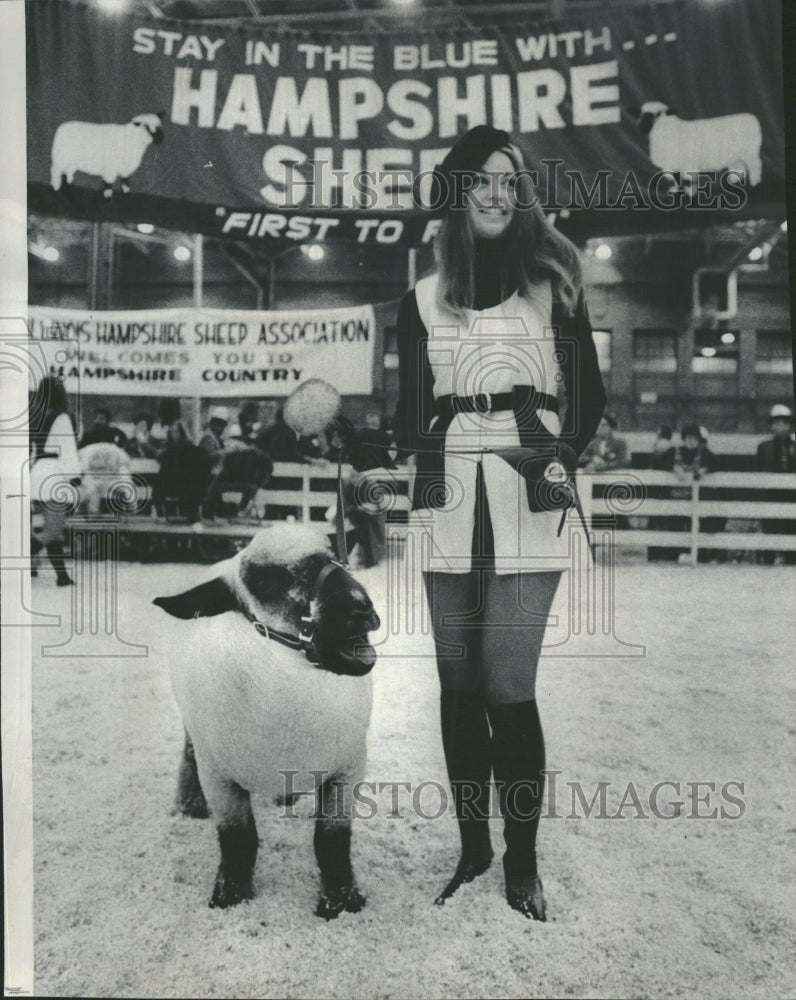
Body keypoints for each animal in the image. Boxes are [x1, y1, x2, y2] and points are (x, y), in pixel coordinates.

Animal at [155, 524, 382, 920]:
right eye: (264, 582)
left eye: (336, 556)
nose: (360, 607)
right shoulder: (220, 779)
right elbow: (238, 838)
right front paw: (231, 895)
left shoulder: (347, 769)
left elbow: (332, 840)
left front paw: (340, 901)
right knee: (187, 753)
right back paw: (188, 806)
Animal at [632, 103, 760, 191]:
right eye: (641, 115)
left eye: (658, 113)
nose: (641, 127)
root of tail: (751, 117)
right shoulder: (669, 165)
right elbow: (673, 180)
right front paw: (674, 191)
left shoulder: (688, 164)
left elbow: (688, 182)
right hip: (735, 155)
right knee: (739, 167)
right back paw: (735, 183)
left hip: (750, 152)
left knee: (755, 166)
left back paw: (755, 183)